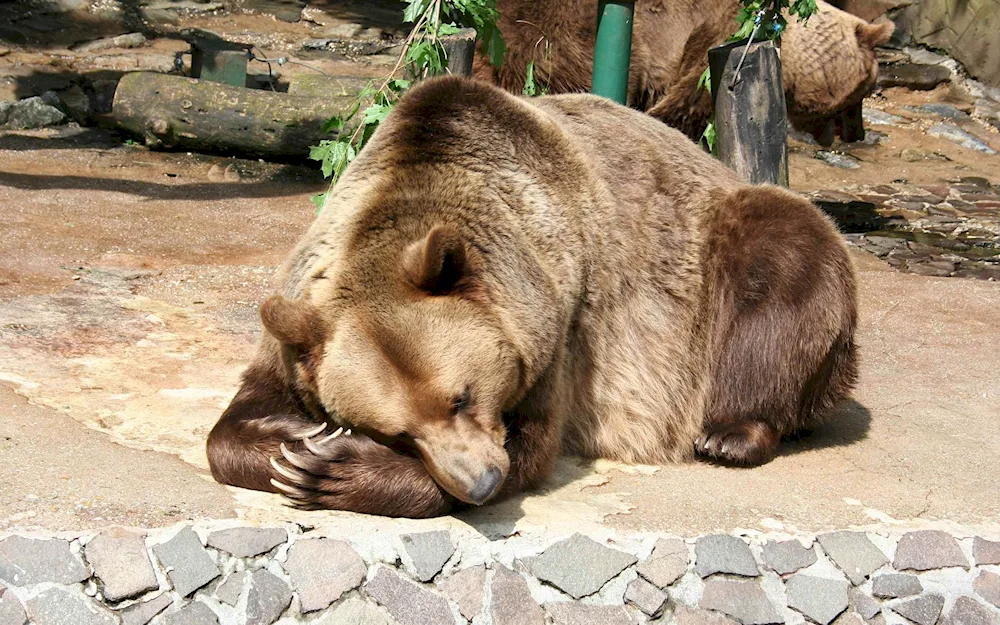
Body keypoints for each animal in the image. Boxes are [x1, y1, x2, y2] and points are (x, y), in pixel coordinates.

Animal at [205, 75, 860, 516]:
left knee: (787, 258)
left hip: (718, 255)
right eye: (398, 432)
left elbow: (533, 442)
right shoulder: (299, 318)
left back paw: (729, 433)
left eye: (461, 396)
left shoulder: (559, 324)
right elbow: (236, 421)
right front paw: (292, 447)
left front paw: (331, 470)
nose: (478, 482)